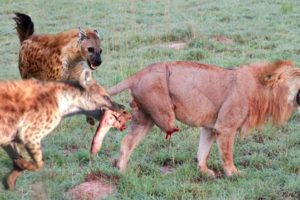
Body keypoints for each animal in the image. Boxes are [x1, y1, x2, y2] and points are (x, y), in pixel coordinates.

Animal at [102, 59, 300, 177]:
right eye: (298, 75)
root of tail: (140, 73)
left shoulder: (211, 127)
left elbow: (203, 150)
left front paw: (204, 171)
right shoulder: (225, 127)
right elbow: (227, 153)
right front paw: (233, 173)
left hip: (144, 119)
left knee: (127, 142)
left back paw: (122, 171)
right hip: (161, 113)